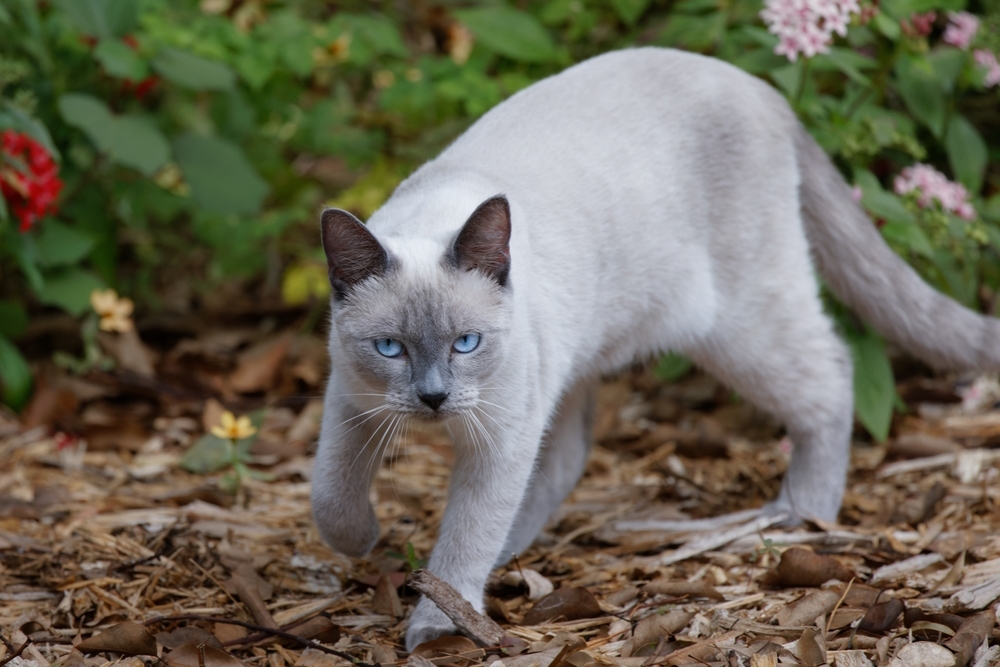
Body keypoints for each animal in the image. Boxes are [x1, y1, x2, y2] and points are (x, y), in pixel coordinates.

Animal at [310, 45, 1000, 648]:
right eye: (390, 348)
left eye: (466, 343)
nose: (433, 398)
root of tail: (761, 88)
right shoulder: (351, 406)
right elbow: (330, 501)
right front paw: (367, 542)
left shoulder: (498, 438)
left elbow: (464, 537)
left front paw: (436, 624)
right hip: (576, 361)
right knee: (566, 457)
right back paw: (513, 551)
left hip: (735, 327)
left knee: (832, 371)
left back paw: (800, 517)